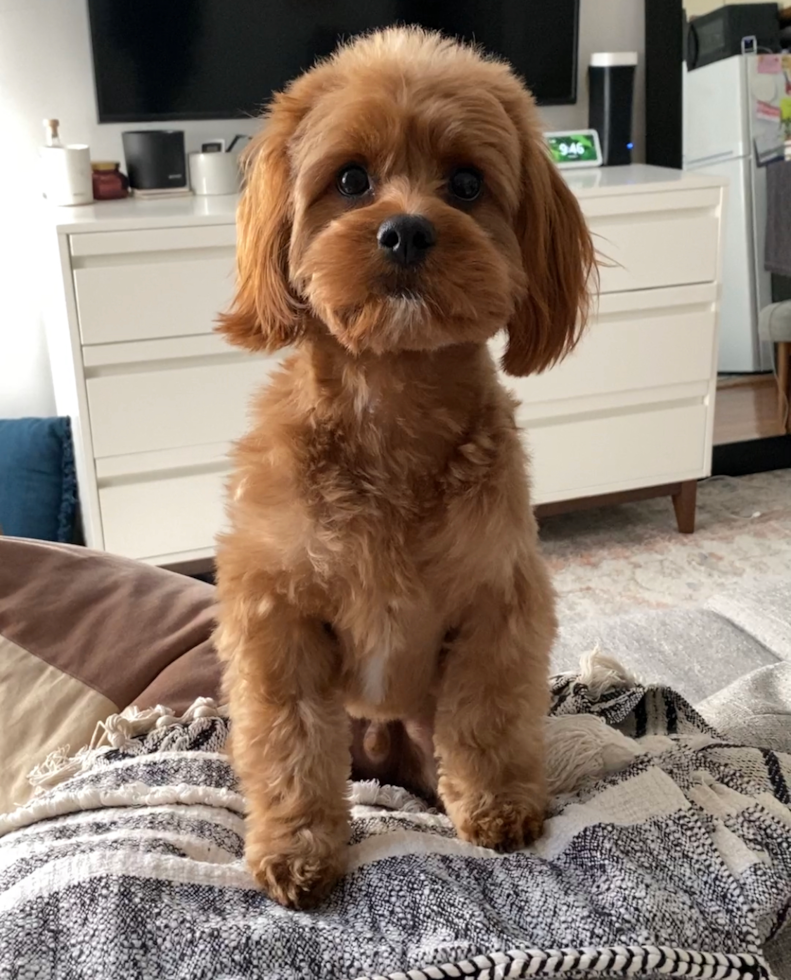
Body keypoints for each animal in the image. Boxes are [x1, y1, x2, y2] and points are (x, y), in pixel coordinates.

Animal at [213, 24, 596, 912]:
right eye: (350, 180)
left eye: (466, 184)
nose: (407, 231)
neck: (392, 404)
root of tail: (384, 740)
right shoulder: (276, 615)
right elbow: (286, 744)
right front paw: (295, 849)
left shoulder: (500, 605)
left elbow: (488, 718)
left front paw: (496, 808)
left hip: (422, 733)